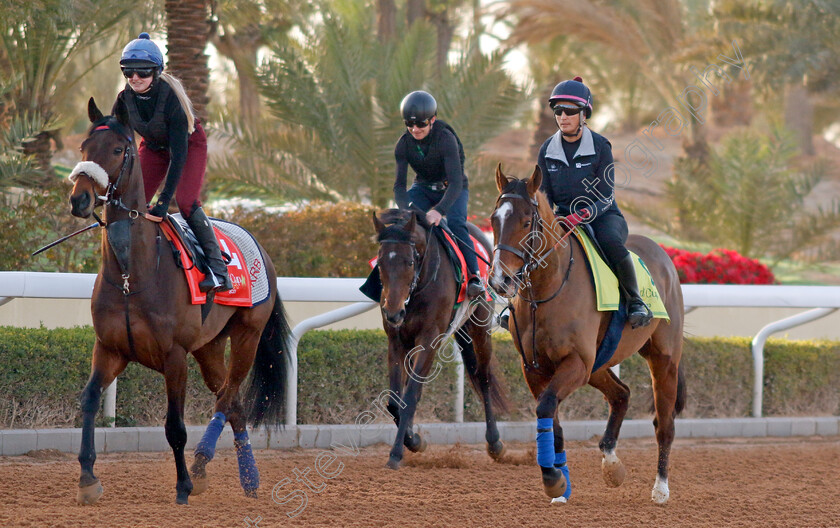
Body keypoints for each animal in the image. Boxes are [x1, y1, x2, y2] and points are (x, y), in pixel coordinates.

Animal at [69, 97, 292, 506]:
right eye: (83, 147)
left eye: (118, 149)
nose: (80, 198)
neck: (132, 275)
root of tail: (263, 251)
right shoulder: (109, 347)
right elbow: (90, 399)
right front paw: (88, 478)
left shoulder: (174, 356)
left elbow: (175, 426)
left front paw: (183, 485)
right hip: (208, 347)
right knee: (234, 404)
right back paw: (240, 477)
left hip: (248, 337)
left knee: (228, 397)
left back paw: (210, 467)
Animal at [370, 208, 508, 468]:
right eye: (381, 262)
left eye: (409, 262)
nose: (393, 313)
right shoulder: (397, 342)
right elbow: (395, 401)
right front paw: (413, 439)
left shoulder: (429, 339)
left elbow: (410, 396)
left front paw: (397, 452)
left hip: (480, 327)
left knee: (483, 376)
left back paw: (495, 443)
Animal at [488, 165, 684, 504]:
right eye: (493, 220)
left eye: (526, 222)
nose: (501, 280)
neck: (548, 291)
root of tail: (664, 257)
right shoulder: (535, 368)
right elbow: (551, 417)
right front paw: (560, 483)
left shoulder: (576, 362)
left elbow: (546, 407)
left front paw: (552, 478)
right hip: (599, 364)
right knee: (621, 394)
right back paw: (612, 463)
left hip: (663, 360)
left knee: (665, 425)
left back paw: (660, 488)